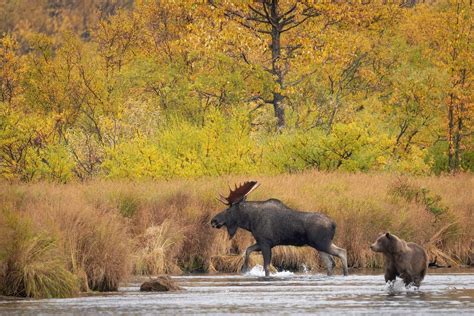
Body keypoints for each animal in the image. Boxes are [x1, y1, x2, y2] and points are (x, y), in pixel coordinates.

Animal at [211, 180, 348, 276]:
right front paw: (245, 269)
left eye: (228, 210)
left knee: (342, 252)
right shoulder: (262, 242)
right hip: (319, 245)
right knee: (330, 262)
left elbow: (266, 267)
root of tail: (333, 224)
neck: (250, 222)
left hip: (322, 243)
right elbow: (248, 250)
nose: (214, 220)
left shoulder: (266, 242)